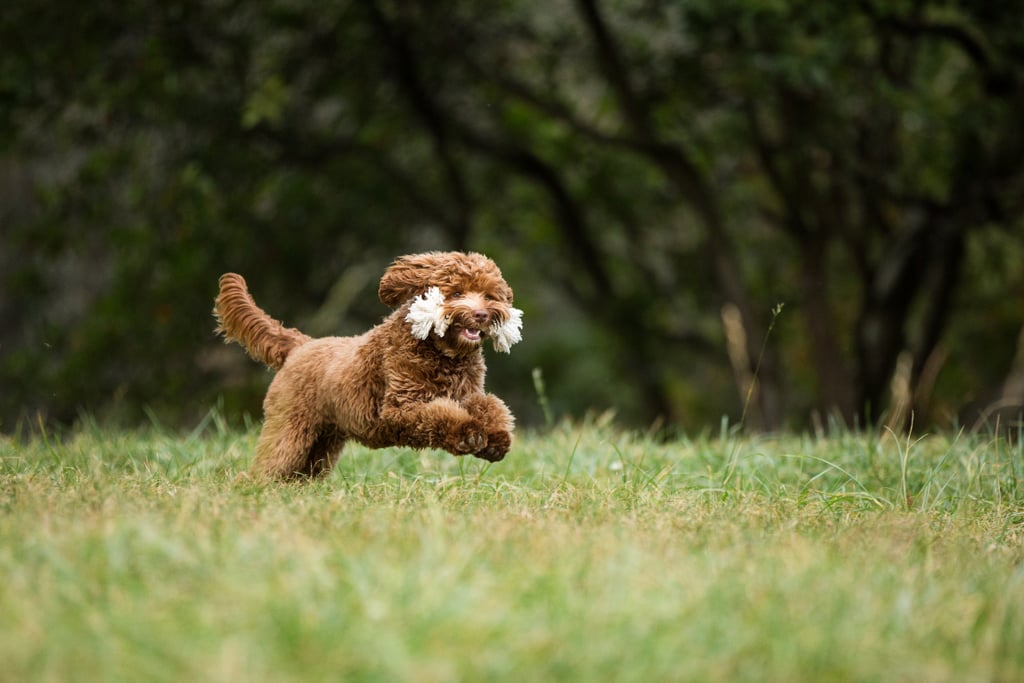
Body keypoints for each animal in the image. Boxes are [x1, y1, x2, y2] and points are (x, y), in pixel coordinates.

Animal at [212, 250, 524, 481]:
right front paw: (469, 433)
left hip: (323, 441)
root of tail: (301, 345)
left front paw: (496, 439)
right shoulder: (400, 408)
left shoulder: (466, 393)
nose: (481, 314)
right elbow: (439, 416)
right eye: (457, 292)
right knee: (269, 466)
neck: (443, 352)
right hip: (290, 426)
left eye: (489, 295)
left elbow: (490, 405)